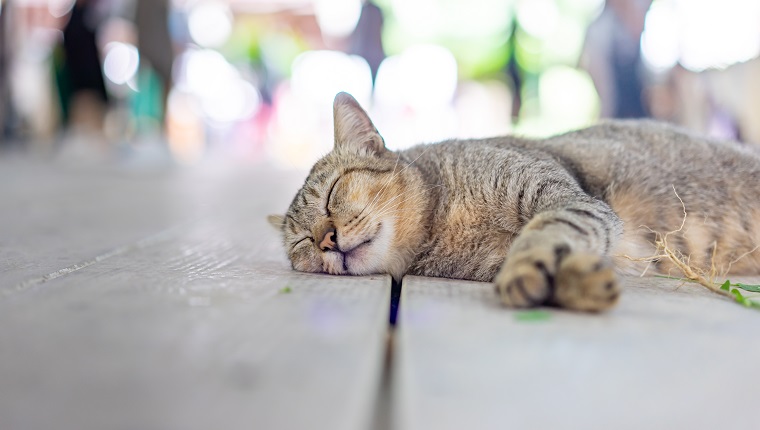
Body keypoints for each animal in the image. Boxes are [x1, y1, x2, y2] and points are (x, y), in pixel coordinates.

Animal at [270, 92, 760, 310]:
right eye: (302, 243)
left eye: (332, 194)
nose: (326, 240)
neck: (443, 219)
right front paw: (578, 282)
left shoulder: (562, 197)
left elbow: (548, 231)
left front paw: (537, 269)